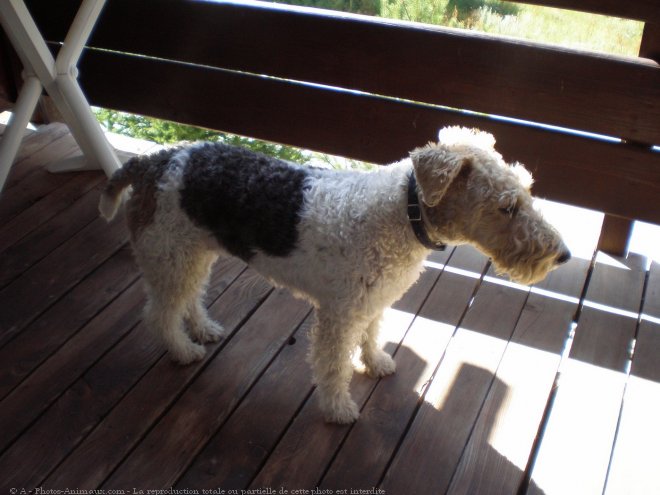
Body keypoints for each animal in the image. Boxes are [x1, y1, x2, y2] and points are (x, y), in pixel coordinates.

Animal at [100, 127, 568, 422]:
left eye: (527, 191)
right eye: (506, 206)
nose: (563, 255)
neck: (403, 212)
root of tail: (155, 161)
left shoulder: (372, 302)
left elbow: (372, 337)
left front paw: (376, 363)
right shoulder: (338, 316)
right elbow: (332, 366)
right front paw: (338, 409)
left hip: (192, 255)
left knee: (189, 300)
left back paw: (204, 329)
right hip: (172, 255)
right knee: (159, 314)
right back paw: (183, 351)